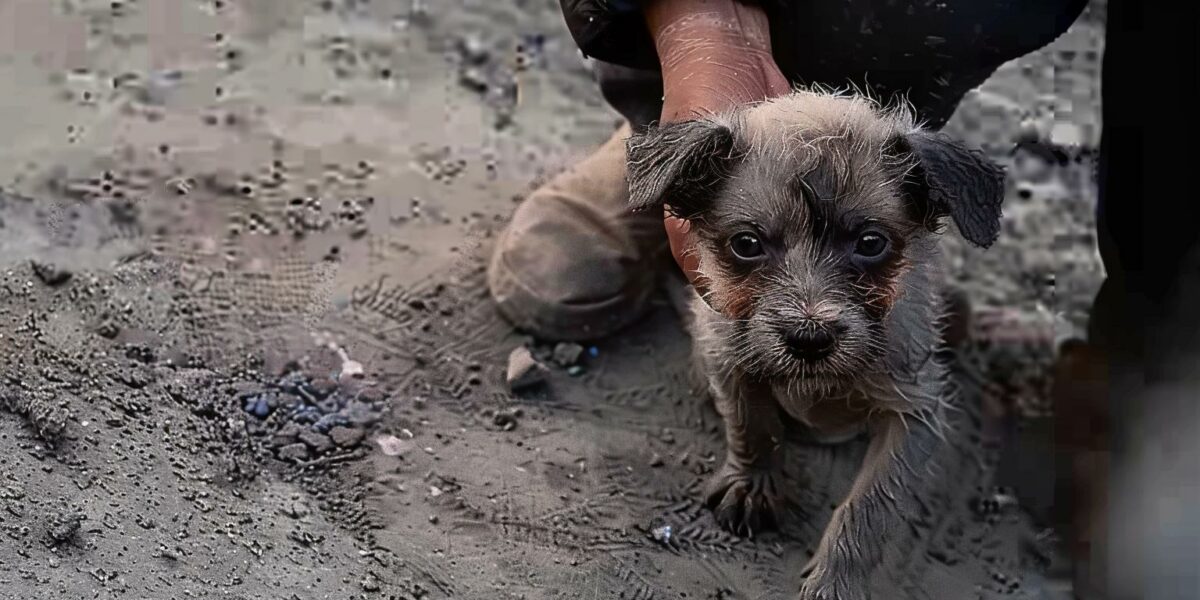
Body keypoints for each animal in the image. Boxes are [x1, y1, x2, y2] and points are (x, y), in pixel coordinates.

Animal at [624, 90, 1008, 600]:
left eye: (871, 242)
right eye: (747, 244)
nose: (809, 338)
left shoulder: (914, 413)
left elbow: (870, 505)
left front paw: (836, 578)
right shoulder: (726, 351)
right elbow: (752, 423)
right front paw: (752, 483)